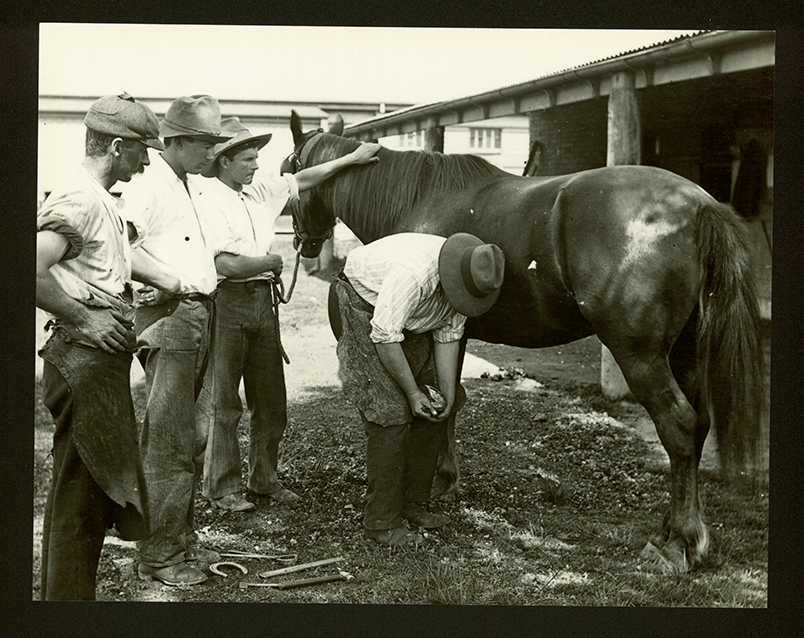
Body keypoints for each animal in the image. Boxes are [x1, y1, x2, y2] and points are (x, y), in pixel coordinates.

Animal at [283, 110, 765, 573]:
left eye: (292, 168)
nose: (304, 243)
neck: (417, 199)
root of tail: (698, 205)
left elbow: (437, 400)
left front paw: (438, 480)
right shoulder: (453, 333)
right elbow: (450, 401)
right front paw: (446, 480)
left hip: (642, 357)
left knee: (679, 427)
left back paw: (678, 543)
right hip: (685, 353)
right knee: (699, 427)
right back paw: (677, 532)